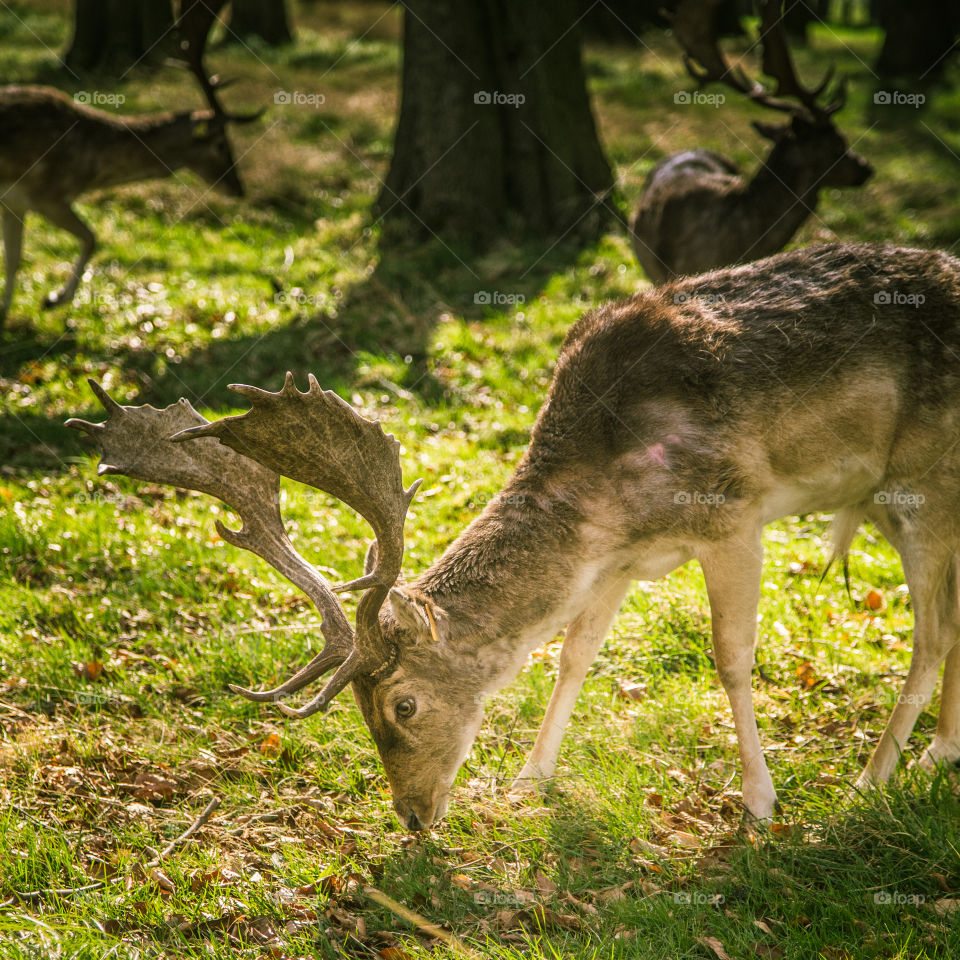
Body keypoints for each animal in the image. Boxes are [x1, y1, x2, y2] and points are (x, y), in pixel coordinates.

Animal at [0, 4, 258, 330]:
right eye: (221, 144)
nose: (239, 189)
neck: (91, 164)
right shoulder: (47, 195)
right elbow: (92, 238)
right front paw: (54, 298)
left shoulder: (15, 202)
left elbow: (13, 258)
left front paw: (6, 313)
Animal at [71, 242, 960, 832]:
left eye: (402, 702)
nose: (414, 815)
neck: (612, 494)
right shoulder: (618, 562)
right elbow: (573, 652)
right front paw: (531, 777)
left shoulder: (733, 516)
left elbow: (732, 659)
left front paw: (760, 801)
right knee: (951, 616)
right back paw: (939, 755)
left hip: (922, 479)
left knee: (929, 633)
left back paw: (871, 779)